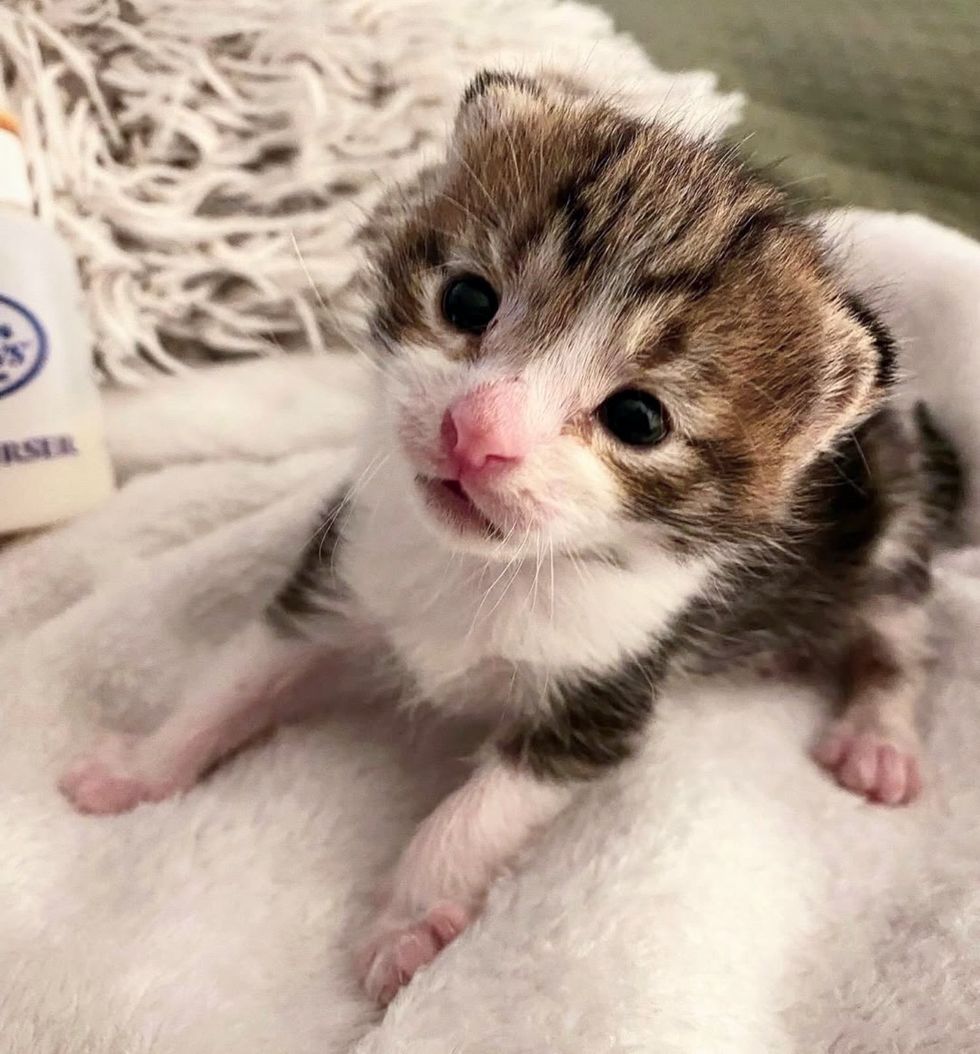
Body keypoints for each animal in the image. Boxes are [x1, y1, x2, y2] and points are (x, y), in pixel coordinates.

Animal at [61, 67, 961, 1003]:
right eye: (468, 300)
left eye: (639, 418)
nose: (474, 432)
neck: (487, 570)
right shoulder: (341, 572)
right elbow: (234, 679)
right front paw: (139, 769)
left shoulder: (604, 691)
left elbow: (473, 814)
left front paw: (408, 926)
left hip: (895, 519)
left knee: (901, 632)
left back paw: (879, 738)